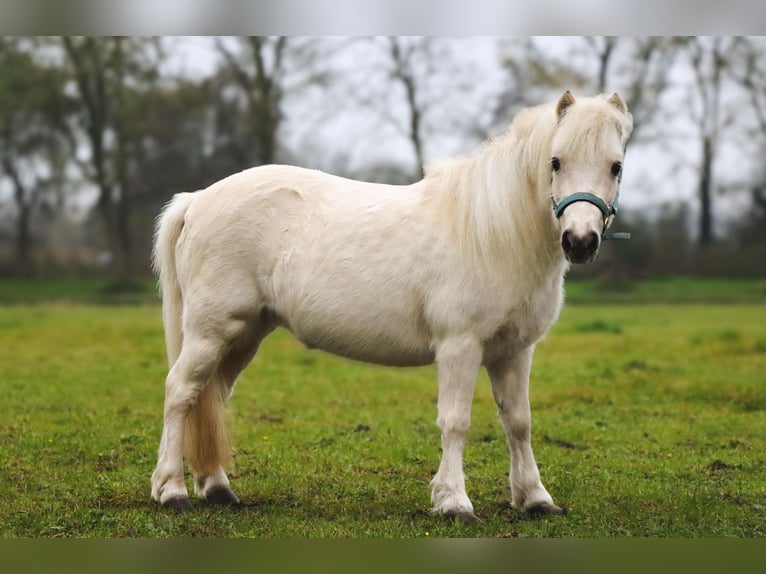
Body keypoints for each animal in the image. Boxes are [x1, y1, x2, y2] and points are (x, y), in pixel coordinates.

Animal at [150, 91, 636, 520]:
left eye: (616, 166)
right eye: (556, 162)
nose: (579, 241)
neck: (492, 232)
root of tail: (197, 200)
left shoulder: (514, 351)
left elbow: (518, 422)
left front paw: (535, 499)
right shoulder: (460, 347)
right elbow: (456, 421)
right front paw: (454, 502)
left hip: (244, 335)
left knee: (210, 397)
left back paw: (217, 488)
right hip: (211, 331)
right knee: (180, 392)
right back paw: (172, 491)